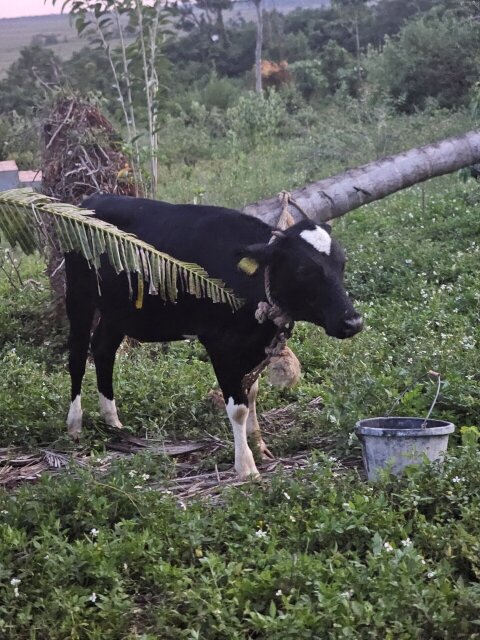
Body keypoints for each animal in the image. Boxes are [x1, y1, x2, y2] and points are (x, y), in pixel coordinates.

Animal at [65, 195, 363, 478]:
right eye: (304, 270)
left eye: (342, 264)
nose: (353, 321)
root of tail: (90, 201)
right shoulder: (219, 343)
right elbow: (239, 408)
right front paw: (246, 466)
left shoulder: (254, 344)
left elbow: (252, 394)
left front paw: (259, 446)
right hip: (79, 295)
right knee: (78, 357)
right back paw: (74, 425)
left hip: (116, 310)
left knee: (103, 349)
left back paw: (112, 420)